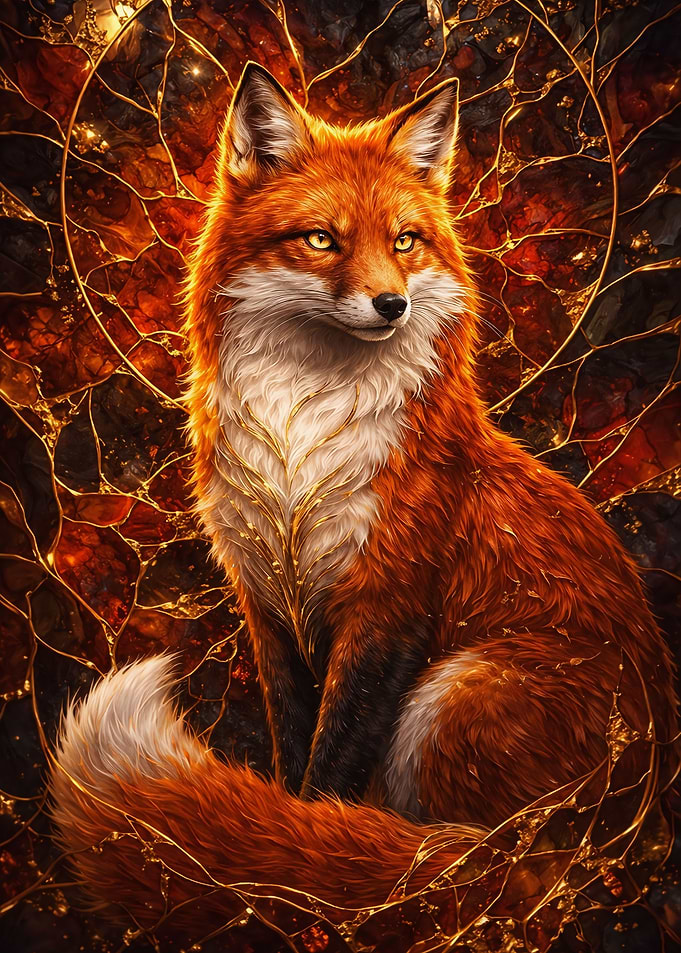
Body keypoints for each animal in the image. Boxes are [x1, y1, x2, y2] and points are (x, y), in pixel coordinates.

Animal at [50, 62, 677, 940]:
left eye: (404, 241)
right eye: (322, 239)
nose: (392, 304)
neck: (300, 449)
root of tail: (614, 827)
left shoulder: (387, 603)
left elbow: (330, 769)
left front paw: (295, 856)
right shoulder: (267, 601)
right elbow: (293, 744)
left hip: (453, 695)